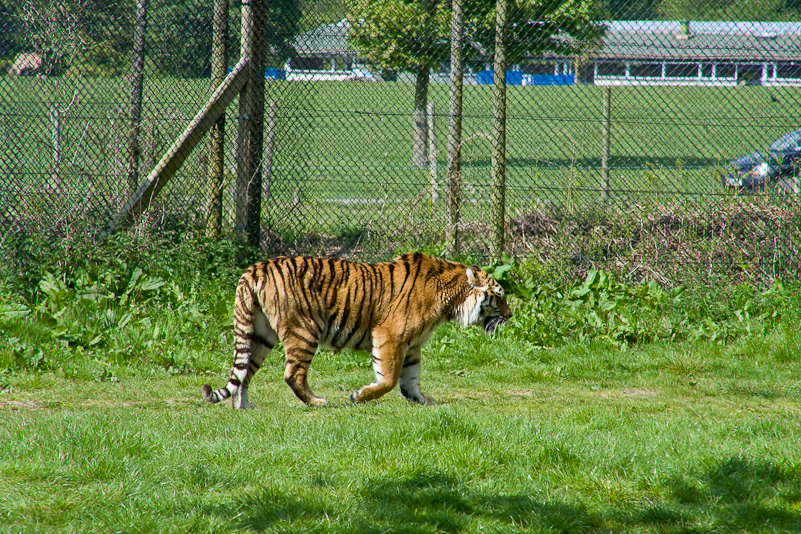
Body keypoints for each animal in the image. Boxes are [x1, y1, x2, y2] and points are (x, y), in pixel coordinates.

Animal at [200, 251, 512, 410]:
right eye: (499, 296)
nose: (510, 316)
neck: (451, 301)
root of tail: (254, 268)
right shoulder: (390, 336)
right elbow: (389, 379)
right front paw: (359, 396)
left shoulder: (412, 346)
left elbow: (411, 379)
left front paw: (423, 400)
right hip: (303, 331)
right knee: (292, 375)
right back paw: (318, 402)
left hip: (260, 335)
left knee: (243, 375)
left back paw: (244, 408)